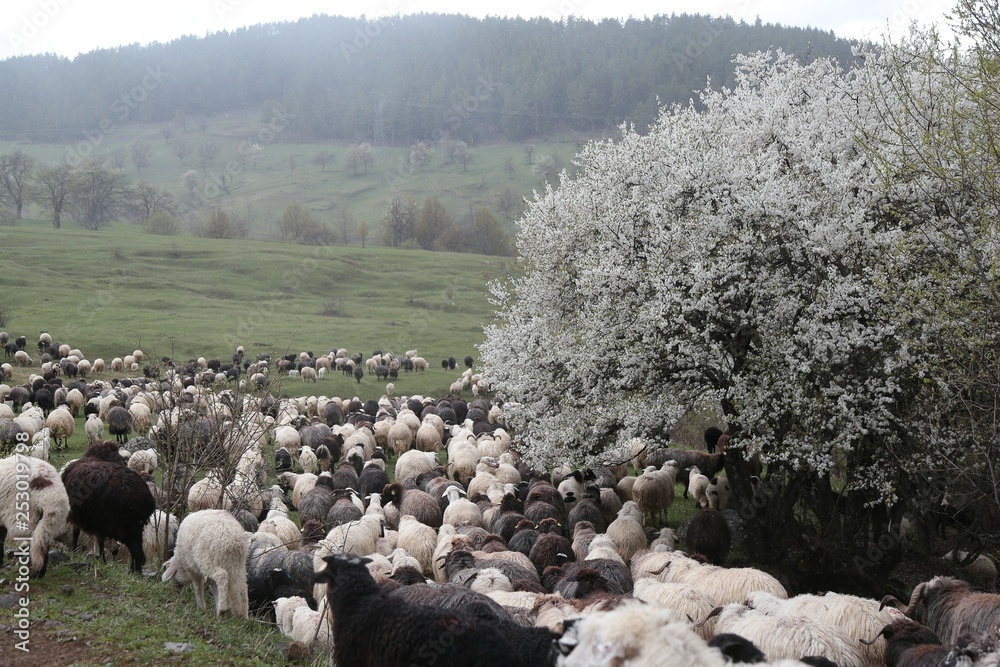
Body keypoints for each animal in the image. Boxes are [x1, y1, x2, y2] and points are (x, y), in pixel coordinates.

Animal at [61, 438, 155, 576]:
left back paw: (133, 570)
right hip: (133, 524)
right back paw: (135, 570)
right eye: (118, 457)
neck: (95, 457)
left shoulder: (85, 516)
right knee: (138, 549)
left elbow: (78, 533)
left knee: (135, 549)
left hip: (123, 524)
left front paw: (75, 550)